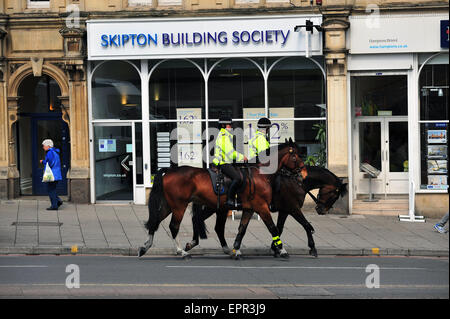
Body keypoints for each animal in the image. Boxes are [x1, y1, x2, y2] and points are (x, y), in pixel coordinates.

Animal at [137, 141, 304, 260]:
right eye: (295, 156)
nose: (302, 173)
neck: (260, 174)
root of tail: (170, 171)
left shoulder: (249, 209)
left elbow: (241, 230)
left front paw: (236, 249)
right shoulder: (261, 207)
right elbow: (273, 228)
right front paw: (282, 250)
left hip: (169, 205)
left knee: (155, 222)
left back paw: (145, 248)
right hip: (179, 206)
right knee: (173, 226)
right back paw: (181, 252)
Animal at [186, 166, 348, 258]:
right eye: (335, 195)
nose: (321, 210)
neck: (297, 181)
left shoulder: (284, 210)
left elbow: (279, 228)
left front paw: (275, 248)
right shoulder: (293, 208)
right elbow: (306, 225)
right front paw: (312, 248)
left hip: (217, 208)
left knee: (214, 226)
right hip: (215, 207)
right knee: (202, 222)